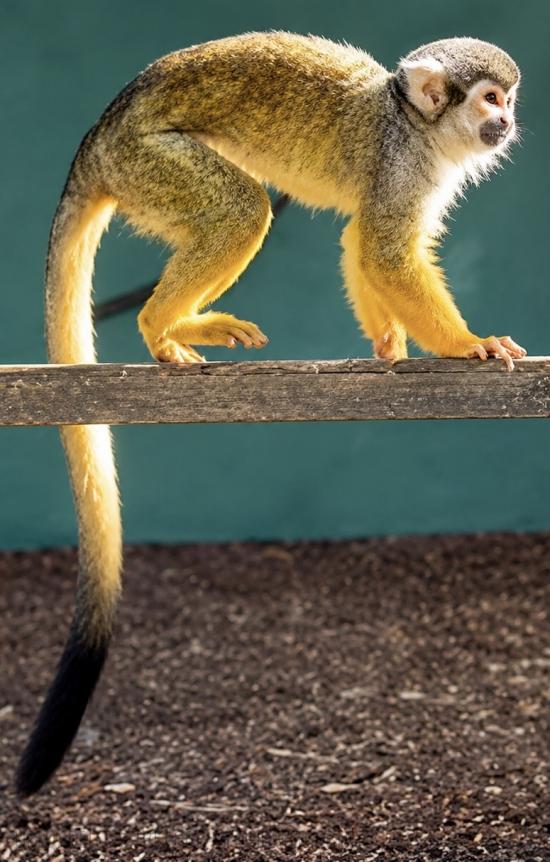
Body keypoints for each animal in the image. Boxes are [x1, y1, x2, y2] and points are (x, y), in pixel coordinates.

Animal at [16, 31, 525, 796]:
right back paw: (162, 325)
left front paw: (389, 345)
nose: (507, 122)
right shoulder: (403, 167)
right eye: (490, 99)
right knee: (240, 208)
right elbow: (382, 248)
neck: (412, 122)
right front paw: (467, 345)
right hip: (148, 161)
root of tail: (98, 136)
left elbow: (360, 243)